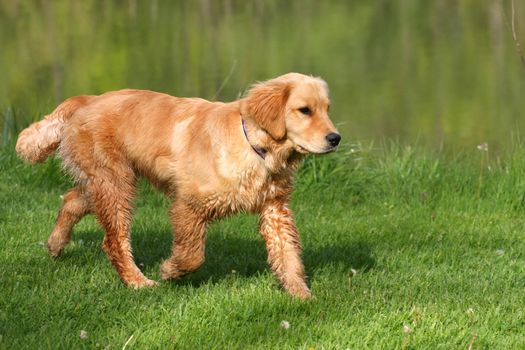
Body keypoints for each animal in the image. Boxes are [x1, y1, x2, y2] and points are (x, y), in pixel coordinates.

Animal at [15, 72, 340, 300]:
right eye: (304, 110)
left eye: (327, 109)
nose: (335, 138)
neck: (255, 146)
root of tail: (86, 99)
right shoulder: (188, 204)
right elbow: (192, 254)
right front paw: (170, 270)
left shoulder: (275, 209)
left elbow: (288, 254)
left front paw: (301, 295)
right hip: (116, 183)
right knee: (113, 240)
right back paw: (138, 282)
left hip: (105, 180)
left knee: (72, 199)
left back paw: (55, 244)